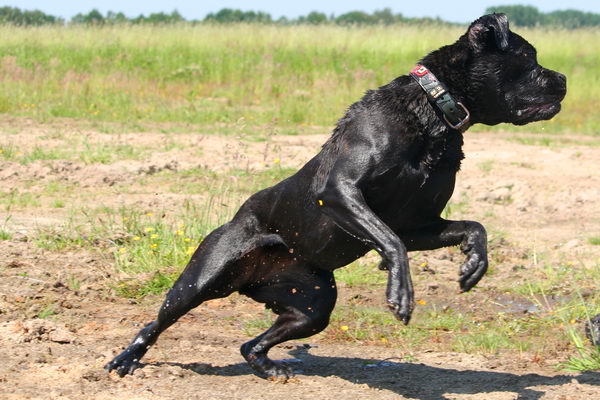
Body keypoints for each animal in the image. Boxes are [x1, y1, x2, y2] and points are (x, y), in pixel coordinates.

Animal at [106, 14, 568, 378]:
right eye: (529, 58)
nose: (564, 78)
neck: (433, 113)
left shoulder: (420, 225)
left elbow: (473, 226)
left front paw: (474, 263)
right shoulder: (340, 192)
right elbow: (391, 242)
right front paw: (400, 293)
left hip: (313, 305)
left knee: (250, 344)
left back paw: (269, 368)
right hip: (202, 278)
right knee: (156, 322)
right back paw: (125, 360)